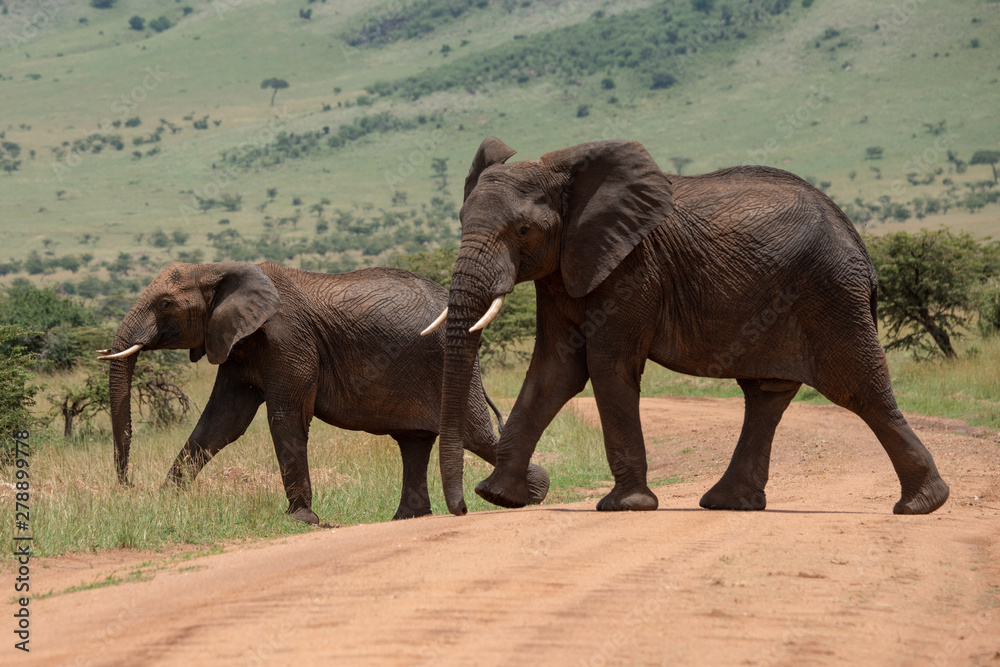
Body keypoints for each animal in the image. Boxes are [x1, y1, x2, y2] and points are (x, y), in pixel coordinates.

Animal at [99, 261, 549, 523]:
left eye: (165, 305)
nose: (128, 486)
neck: (220, 268)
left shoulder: (287, 339)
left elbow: (285, 417)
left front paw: (301, 520)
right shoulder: (237, 342)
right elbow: (221, 424)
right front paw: (166, 501)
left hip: (447, 364)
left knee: (472, 434)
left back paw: (528, 493)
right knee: (414, 441)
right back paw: (407, 518)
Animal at [423, 136, 949, 517]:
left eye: (523, 231)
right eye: (461, 220)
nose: (459, 509)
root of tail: (859, 244)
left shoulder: (633, 266)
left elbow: (606, 364)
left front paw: (624, 507)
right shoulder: (565, 268)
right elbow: (556, 370)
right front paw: (499, 497)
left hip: (832, 293)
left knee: (859, 388)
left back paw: (920, 506)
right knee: (767, 394)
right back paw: (729, 504)